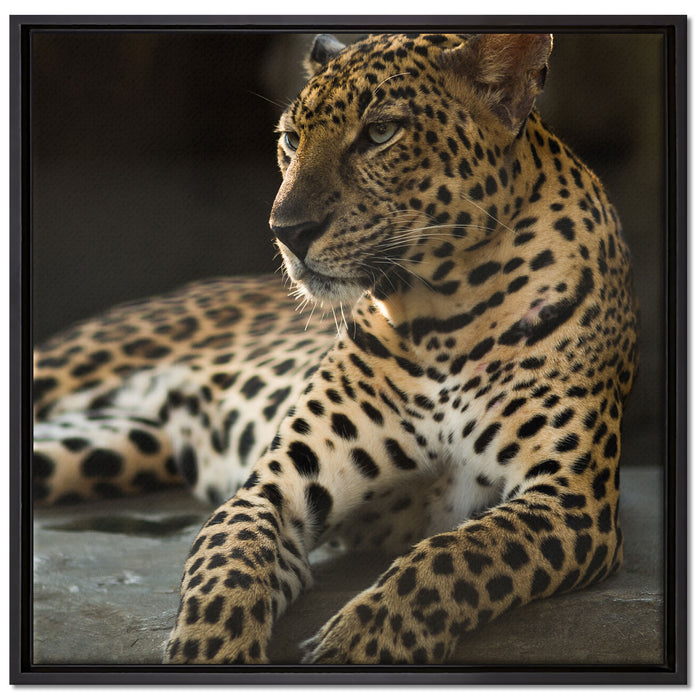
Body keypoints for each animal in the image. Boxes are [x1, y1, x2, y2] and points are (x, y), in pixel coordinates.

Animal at [32, 32, 639, 665]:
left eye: (380, 133)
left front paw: (359, 645)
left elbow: (456, 556)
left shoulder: (570, 500)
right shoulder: (276, 486)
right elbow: (229, 564)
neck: (442, 315)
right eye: (290, 139)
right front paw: (212, 652)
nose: (286, 231)